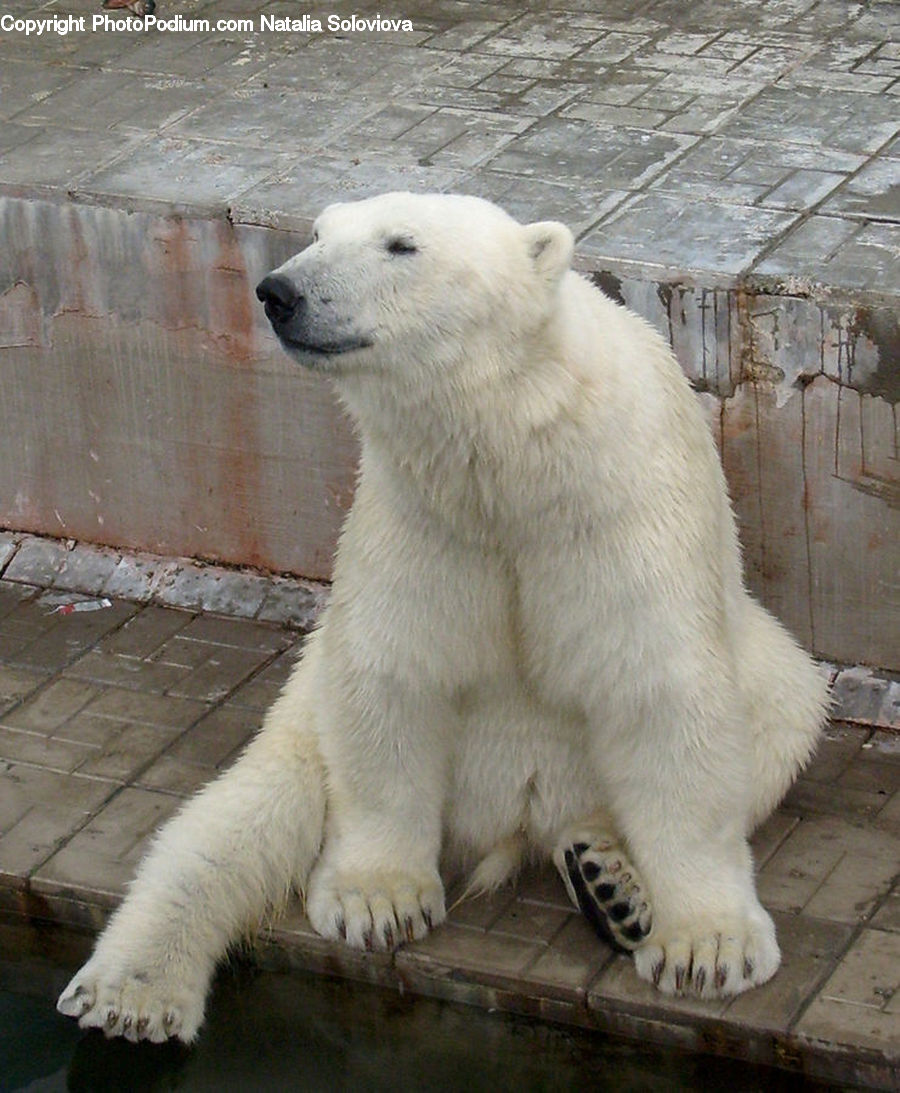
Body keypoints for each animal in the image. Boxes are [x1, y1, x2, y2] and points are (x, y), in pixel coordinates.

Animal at [58, 192, 828, 1043]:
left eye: (402, 245)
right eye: (319, 233)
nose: (279, 292)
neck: (511, 448)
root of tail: (510, 823)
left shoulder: (616, 508)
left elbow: (663, 695)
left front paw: (707, 948)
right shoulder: (421, 517)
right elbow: (393, 674)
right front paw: (377, 899)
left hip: (761, 674)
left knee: (784, 713)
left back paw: (608, 877)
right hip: (303, 715)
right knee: (229, 828)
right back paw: (132, 994)